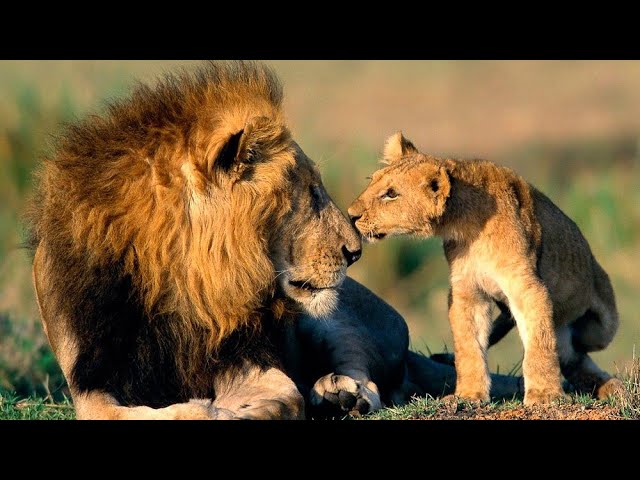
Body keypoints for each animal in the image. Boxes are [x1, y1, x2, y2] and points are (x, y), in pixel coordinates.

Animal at [26, 64, 524, 420]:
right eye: (311, 193)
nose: (355, 252)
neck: (179, 282)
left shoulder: (247, 354)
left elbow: (286, 396)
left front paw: (249, 408)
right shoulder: (91, 381)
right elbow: (131, 412)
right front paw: (207, 408)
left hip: (335, 315)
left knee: (369, 374)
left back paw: (340, 393)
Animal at [348, 133, 624, 406]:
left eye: (391, 194)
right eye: (371, 182)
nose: (351, 215)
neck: (466, 225)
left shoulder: (527, 287)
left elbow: (539, 344)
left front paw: (544, 394)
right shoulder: (467, 291)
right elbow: (468, 347)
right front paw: (469, 395)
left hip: (601, 326)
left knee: (577, 349)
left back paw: (612, 386)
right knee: (571, 357)